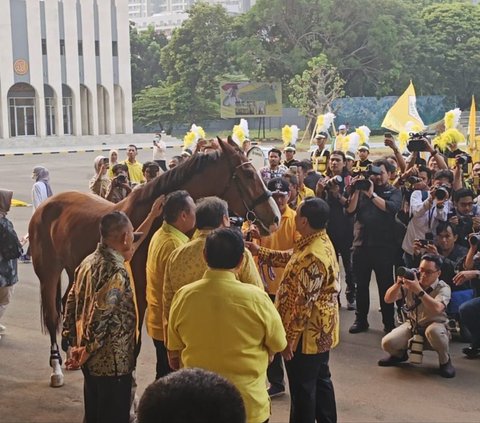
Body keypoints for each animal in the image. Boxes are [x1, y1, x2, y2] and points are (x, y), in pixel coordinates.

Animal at [28, 139, 280, 388]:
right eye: (248, 173)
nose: (275, 218)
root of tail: (45, 206)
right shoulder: (137, 291)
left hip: (74, 269)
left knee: (67, 303)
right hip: (48, 272)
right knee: (52, 316)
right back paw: (56, 368)